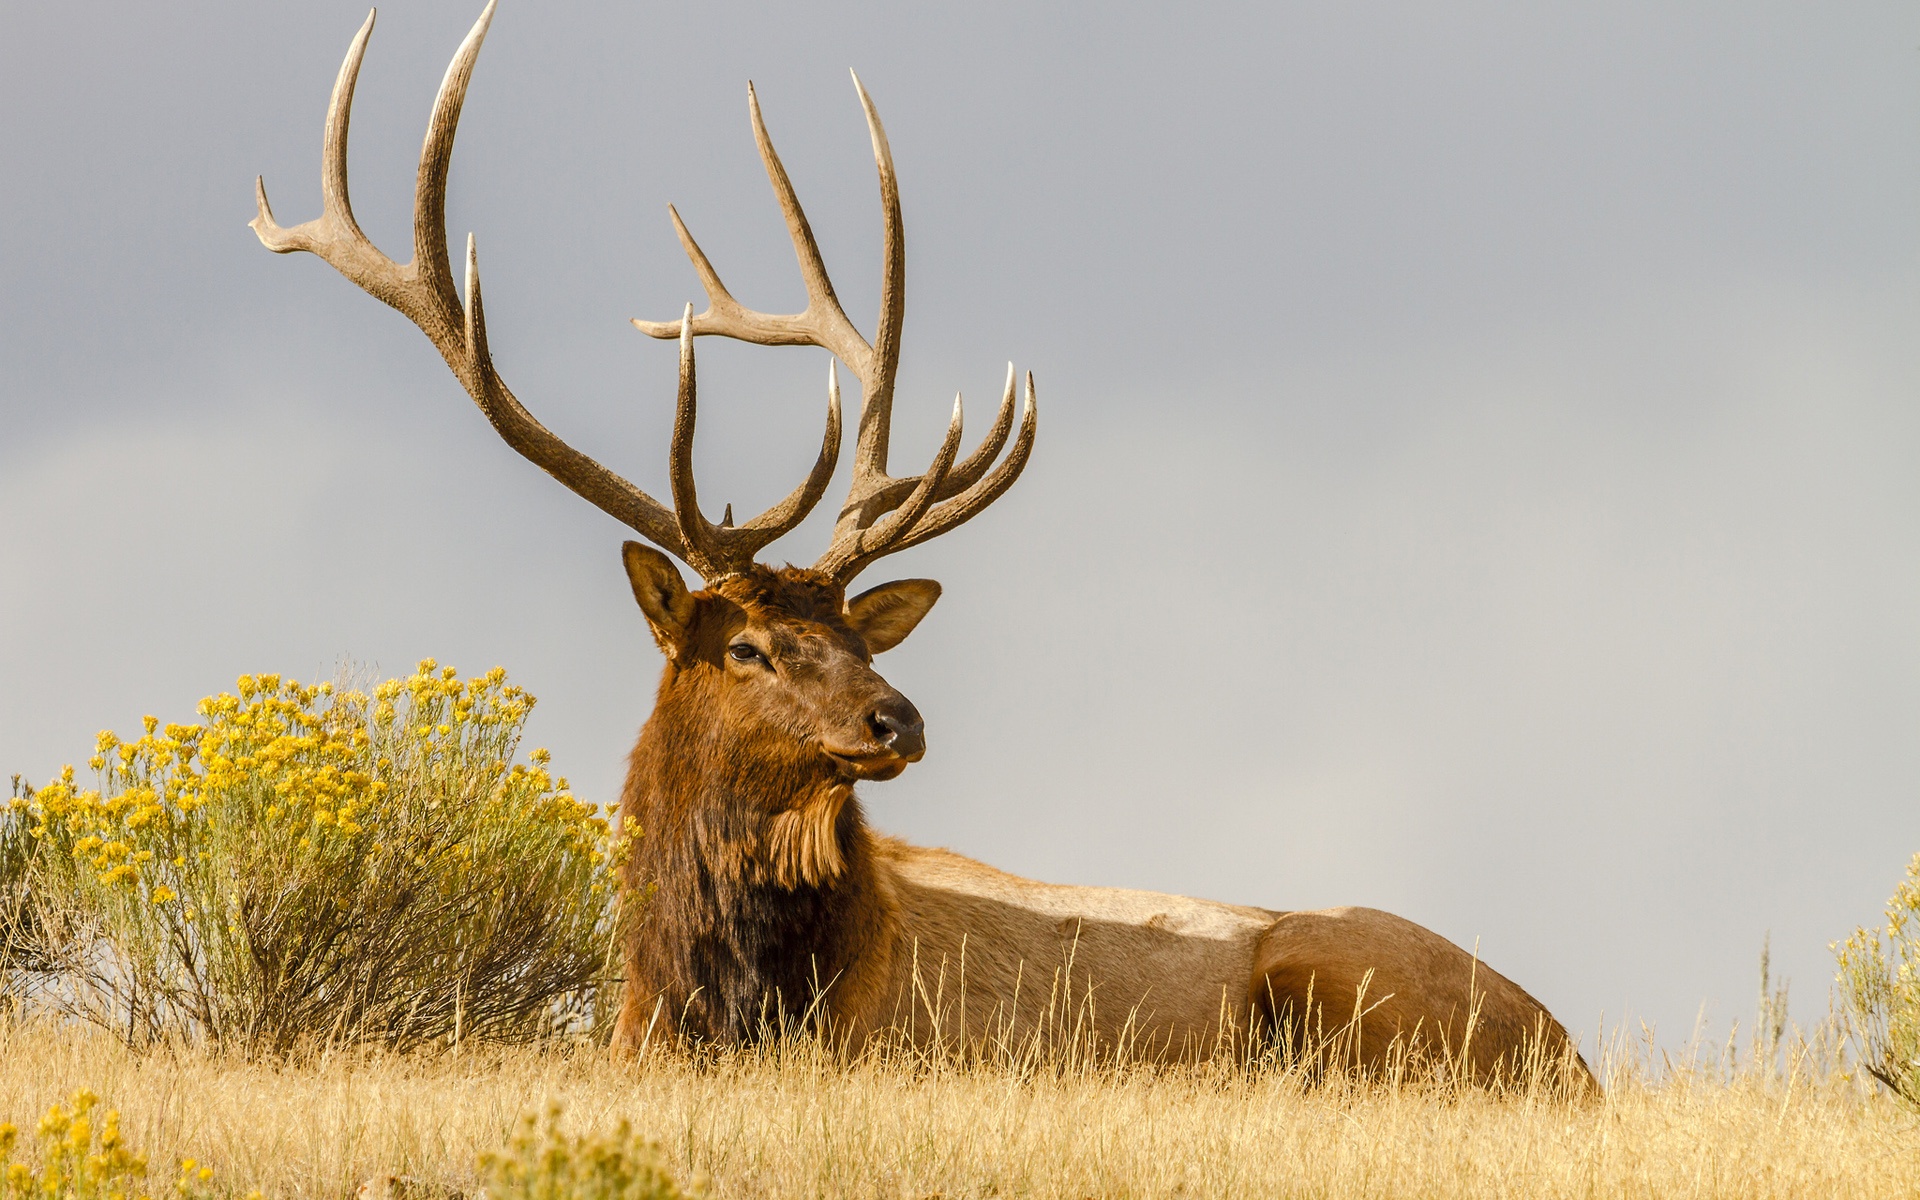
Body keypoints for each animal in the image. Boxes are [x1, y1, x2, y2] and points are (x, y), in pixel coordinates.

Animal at [255, 2, 1589, 1082]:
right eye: (745, 646)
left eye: (859, 634)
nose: (897, 720)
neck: (716, 1003)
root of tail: (1572, 1052)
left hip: (1337, 975)